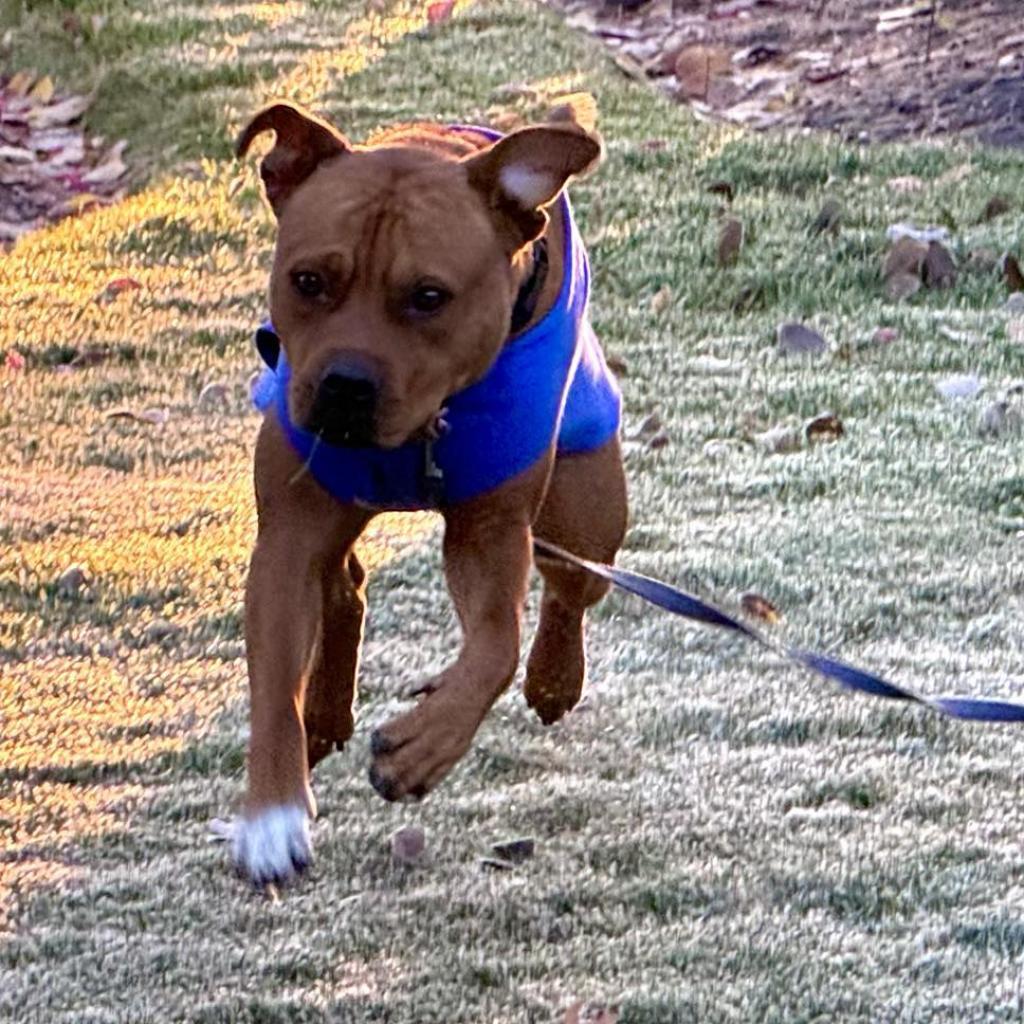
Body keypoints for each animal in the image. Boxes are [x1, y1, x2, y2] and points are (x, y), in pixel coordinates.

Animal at [233, 103, 626, 884]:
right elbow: (272, 685)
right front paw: (271, 817)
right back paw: (325, 714)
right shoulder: (289, 535)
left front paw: (422, 747)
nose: (345, 387)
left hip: (590, 508)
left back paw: (554, 680)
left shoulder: (491, 528)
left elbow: (496, 644)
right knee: (343, 585)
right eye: (308, 280)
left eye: (429, 297)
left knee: (571, 590)